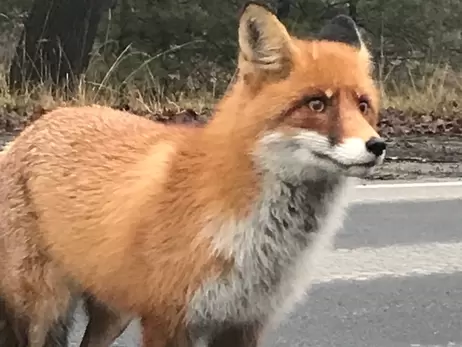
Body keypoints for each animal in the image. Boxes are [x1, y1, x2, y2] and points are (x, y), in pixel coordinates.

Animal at [0, 1, 386, 346]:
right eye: (317, 104)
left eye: (363, 105)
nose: (377, 145)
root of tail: (32, 129)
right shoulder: (167, 321)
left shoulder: (243, 324)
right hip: (46, 310)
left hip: (112, 315)